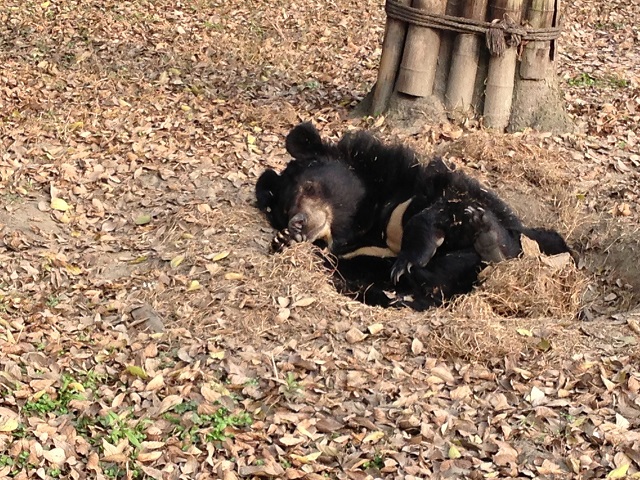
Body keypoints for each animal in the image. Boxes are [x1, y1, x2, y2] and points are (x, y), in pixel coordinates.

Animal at [255, 123, 568, 312]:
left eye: (310, 187)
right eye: (286, 210)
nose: (298, 222)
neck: (366, 224)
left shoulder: (414, 190)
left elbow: (445, 203)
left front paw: (408, 260)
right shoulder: (355, 257)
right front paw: (285, 240)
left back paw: (489, 242)